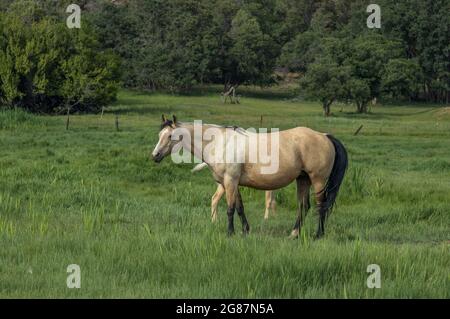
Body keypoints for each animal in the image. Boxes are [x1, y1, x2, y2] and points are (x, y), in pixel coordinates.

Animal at [151, 116, 348, 239]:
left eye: (170, 136)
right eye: (160, 135)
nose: (155, 155)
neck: (219, 142)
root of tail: (324, 136)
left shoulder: (230, 180)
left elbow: (230, 209)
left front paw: (230, 233)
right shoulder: (232, 183)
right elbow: (239, 208)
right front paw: (245, 231)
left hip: (318, 180)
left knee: (321, 206)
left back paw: (318, 234)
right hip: (303, 180)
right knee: (303, 207)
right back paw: (294, 234)